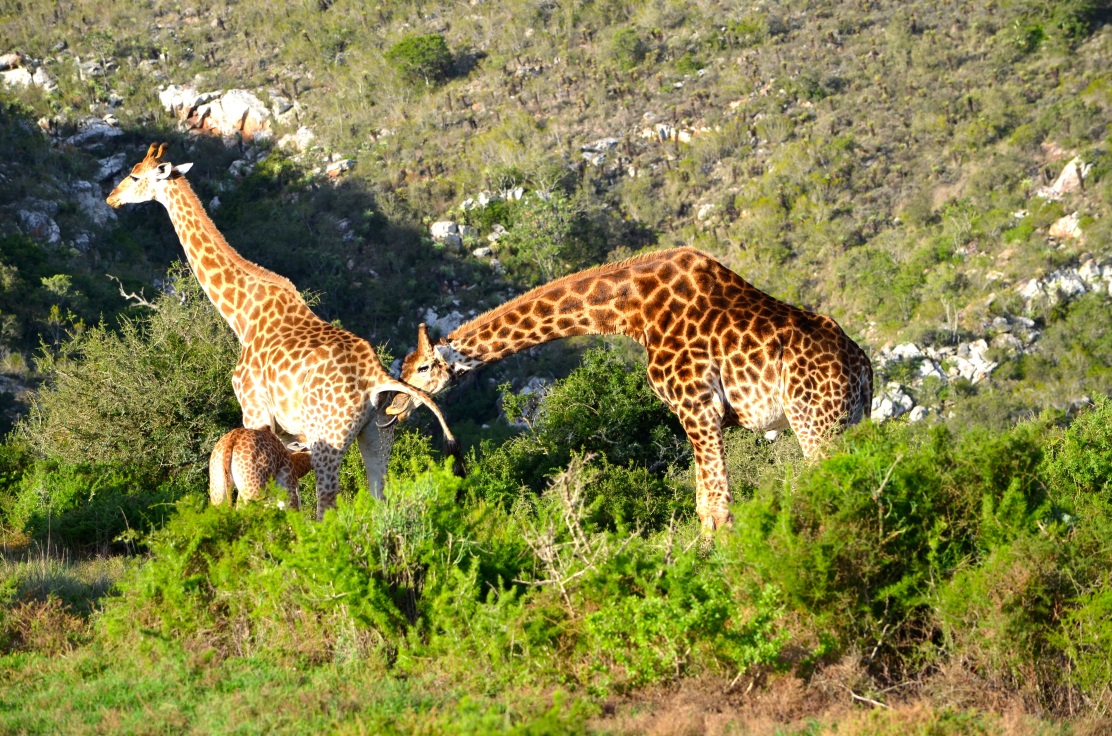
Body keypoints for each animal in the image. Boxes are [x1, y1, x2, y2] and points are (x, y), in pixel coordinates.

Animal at [107, 140, 460, 518]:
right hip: (377, 434)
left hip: (328, 437)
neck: (242, 315)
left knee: (326, 505)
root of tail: (377, 377)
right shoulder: (290, 434)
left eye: (135, 175)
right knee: (378, 495)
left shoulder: (253, 409)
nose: (112, 197)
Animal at [386, 247, 871, 531]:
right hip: (850, 420)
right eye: (404, 367)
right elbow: (704, 505)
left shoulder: (698, 407)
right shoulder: (696, 415)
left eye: (422, 367)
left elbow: (717, 510)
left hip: (814, 422)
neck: (632, 310)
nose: (393, 407)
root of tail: (863, 369)